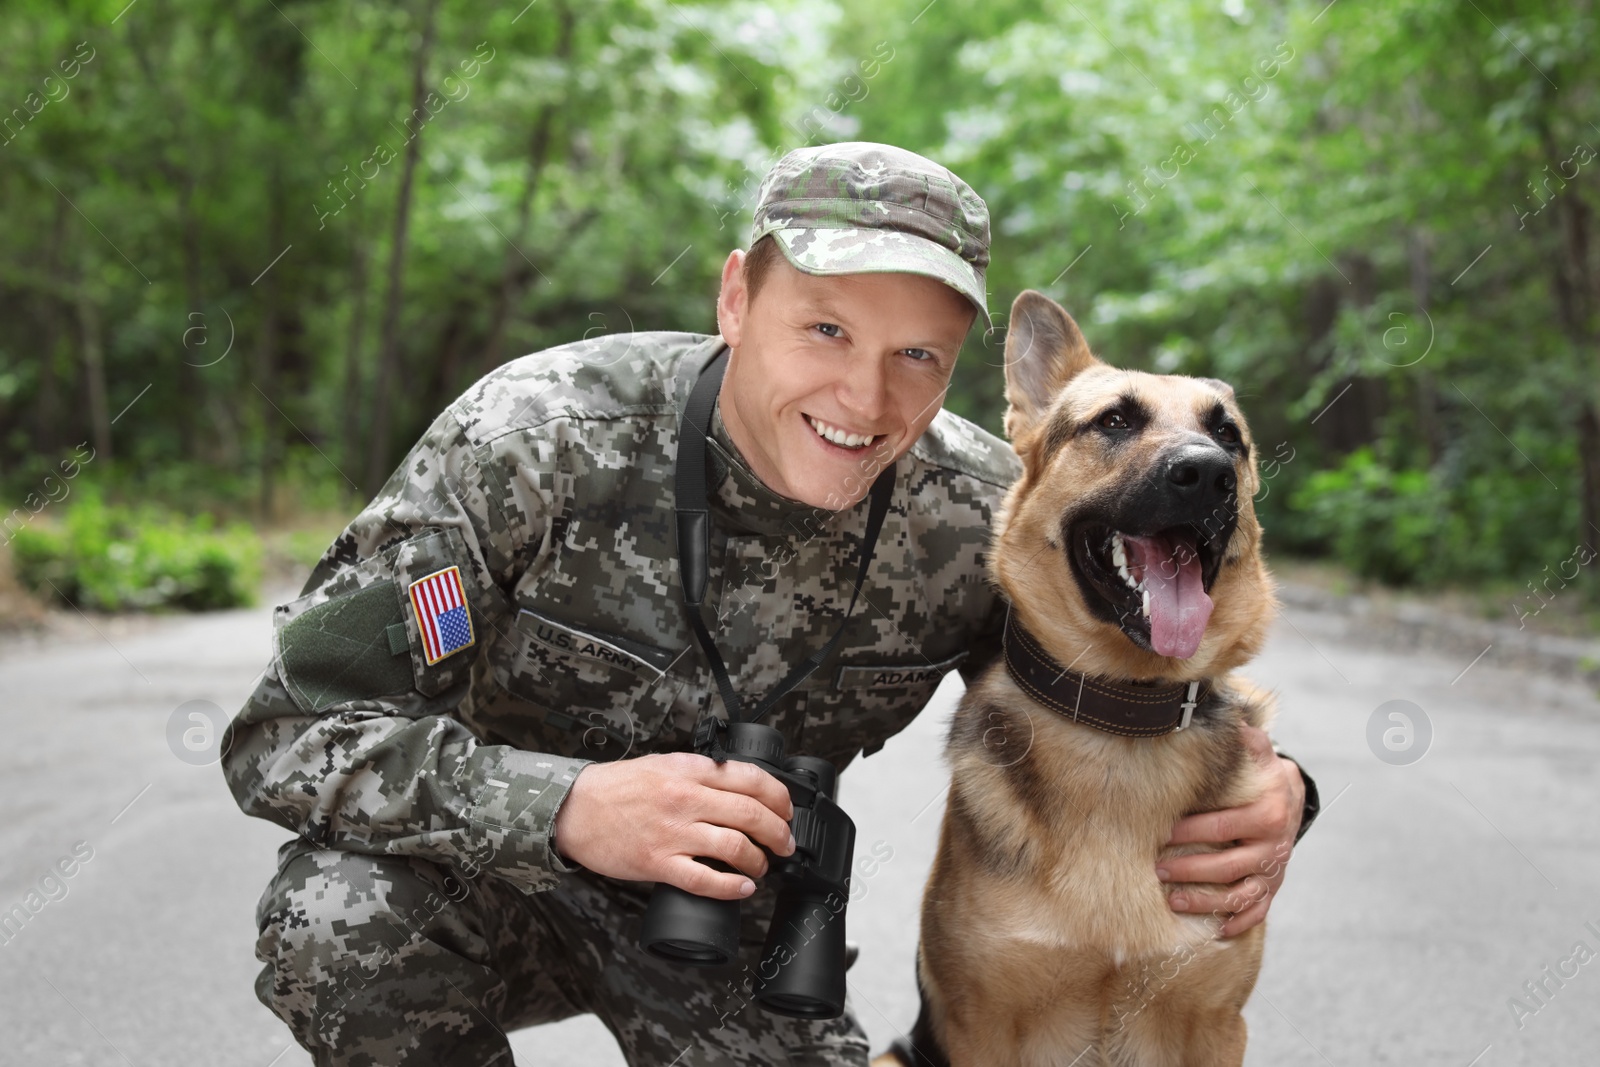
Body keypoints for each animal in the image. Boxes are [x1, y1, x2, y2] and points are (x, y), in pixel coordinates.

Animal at [876, 294, 1273, 1067]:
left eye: (1227, 434)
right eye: (1115, 421)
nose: (1209, 473)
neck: (1121, 718)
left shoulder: (1218, 1025)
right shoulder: (982, 1025)